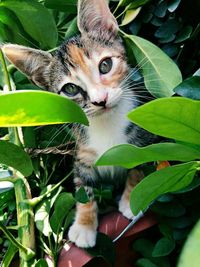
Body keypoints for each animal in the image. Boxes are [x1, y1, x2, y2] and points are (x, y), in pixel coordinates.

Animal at [2, 0, 157, 249]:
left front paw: (132, 198)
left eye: (105, 65)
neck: (106, 124)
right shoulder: (81, 154)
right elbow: (83, 190)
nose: (100, 100)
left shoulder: (146, 138)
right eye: (71, 89)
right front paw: (84, 226)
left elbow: (139, 164)